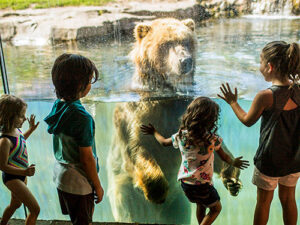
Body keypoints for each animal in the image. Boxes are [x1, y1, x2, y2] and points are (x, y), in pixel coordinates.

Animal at [106, 18, 243, 223]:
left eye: (186, 41)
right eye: (166, 44)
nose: (185, 61)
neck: (166, 96)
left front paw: (232, 178)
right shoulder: (137, 115)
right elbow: (138, 147)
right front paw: (157, 192)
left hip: (178, 204)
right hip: (125, 195)